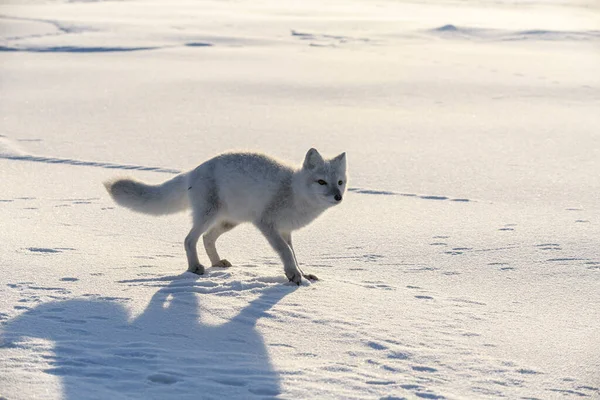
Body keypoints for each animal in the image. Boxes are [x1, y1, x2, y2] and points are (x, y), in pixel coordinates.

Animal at [104, 148, 346, 284]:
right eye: (321, 182)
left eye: (340, 182)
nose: (338, 197)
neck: (295, 191)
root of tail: (192, 172)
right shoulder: (267, 224)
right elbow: (286, 252)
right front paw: (294, 275)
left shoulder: (286, 230)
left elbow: (293, 254)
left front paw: (302, 274)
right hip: (208, 215)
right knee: (189, 239)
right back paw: (195, 267)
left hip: (230, 221)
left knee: (207, 238)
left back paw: (216, 263)